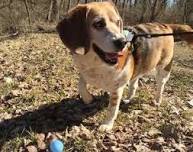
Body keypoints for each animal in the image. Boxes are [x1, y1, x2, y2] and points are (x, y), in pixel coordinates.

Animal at [57, 1, 193, 132]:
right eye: (99, 24)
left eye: (118, 22)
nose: (123, 42)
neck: (96, 62)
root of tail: (166, 25)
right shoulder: (85, 71)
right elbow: (81, 83)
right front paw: (87, 98)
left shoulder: (117, 88)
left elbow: (112, 109)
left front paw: (107, 125)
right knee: (134, 84)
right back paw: (128, 99)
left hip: (163, 69)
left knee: (160, 85)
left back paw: (157, 100)